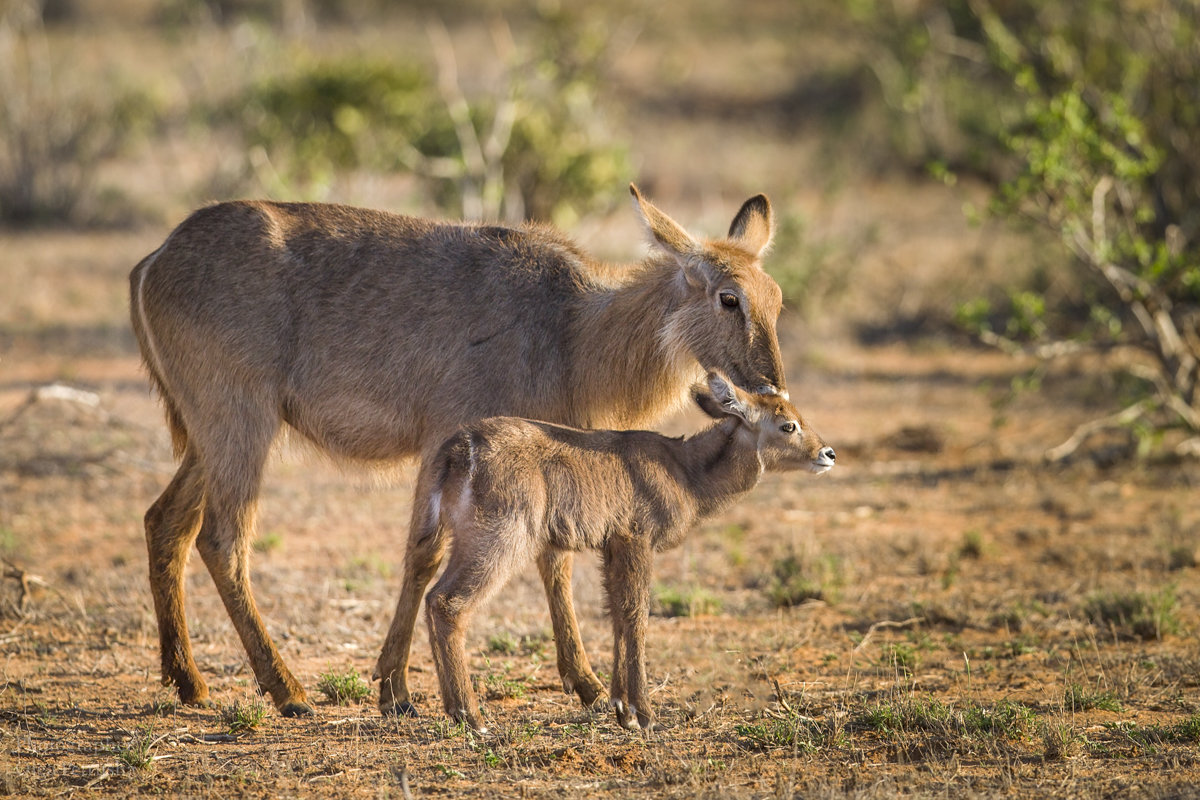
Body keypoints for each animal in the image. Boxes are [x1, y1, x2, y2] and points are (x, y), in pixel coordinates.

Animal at [131, 184, 792, 714]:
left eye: (777, 298)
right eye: (728, 297)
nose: (771, 385)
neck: (574, 328)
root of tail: (153, 259)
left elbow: (553, 560)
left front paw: (585, 684)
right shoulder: (448, 441)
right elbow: (425, 557)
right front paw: (396, 687)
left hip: (210, 435)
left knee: (165, 521)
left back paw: (188, 681)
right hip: (240, 421)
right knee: (223, 540)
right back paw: (287, 690)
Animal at [376, 371, 835, 734]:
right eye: (788, 424)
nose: (827, 454)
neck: (685, 470)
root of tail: (460, 450)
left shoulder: (612, 545)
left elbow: (616, 612)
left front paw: (620, 707)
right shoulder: (636, 538)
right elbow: (636, 614)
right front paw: (642, 714)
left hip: (436, 531)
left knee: (422, 581)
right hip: (498, 541)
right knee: (447, 602)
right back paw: (470, 716)